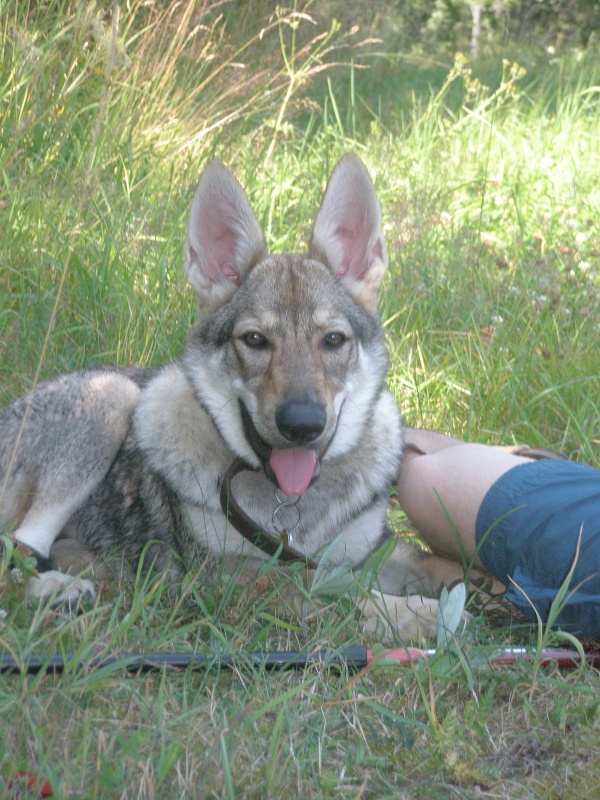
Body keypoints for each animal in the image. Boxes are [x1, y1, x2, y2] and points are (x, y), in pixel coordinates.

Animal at [0, 155, 466, 636]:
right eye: (255, 340)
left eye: (333, 340)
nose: (302, 425)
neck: (295, 507)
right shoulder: (220, 573)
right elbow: (325, 587)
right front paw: (415, 613)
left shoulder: (372, 547)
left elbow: (440, 564)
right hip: (113, 396)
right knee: (17, 550)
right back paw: (59, 590)